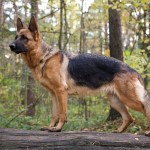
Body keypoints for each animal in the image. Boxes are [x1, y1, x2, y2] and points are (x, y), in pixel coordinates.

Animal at [9, 16, 150, 135]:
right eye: (16, 37)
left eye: (24, 38)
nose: (10, 46)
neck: (44, 57)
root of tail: (133, 70)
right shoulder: (54, 94)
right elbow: (55, 113)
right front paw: (50, 127)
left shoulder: (61, 92)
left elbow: (62, 113)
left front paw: (58, 128)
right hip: (115, 101)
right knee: (129, 118)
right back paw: (119, 131)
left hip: (128, 99)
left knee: (144, 109)